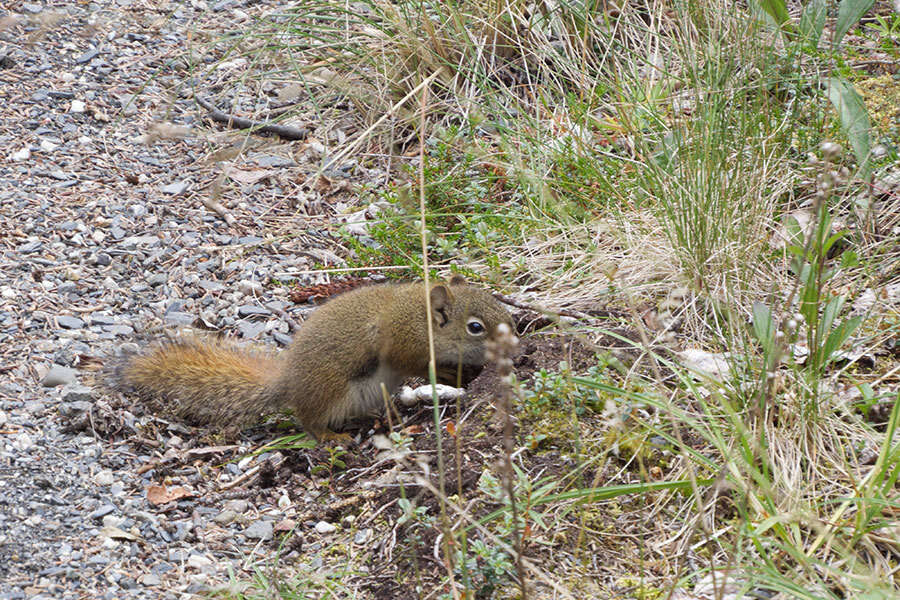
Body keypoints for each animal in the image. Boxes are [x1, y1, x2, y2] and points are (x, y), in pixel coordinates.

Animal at [110, 276, 512, 440]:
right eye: (476, 327)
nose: (516, 344)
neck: (419, 316)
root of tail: (289, 385)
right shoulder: (403, 345)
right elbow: (421, 367)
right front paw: (454, 376)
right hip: (329, 389)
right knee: (309, 422)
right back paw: (333, 438)